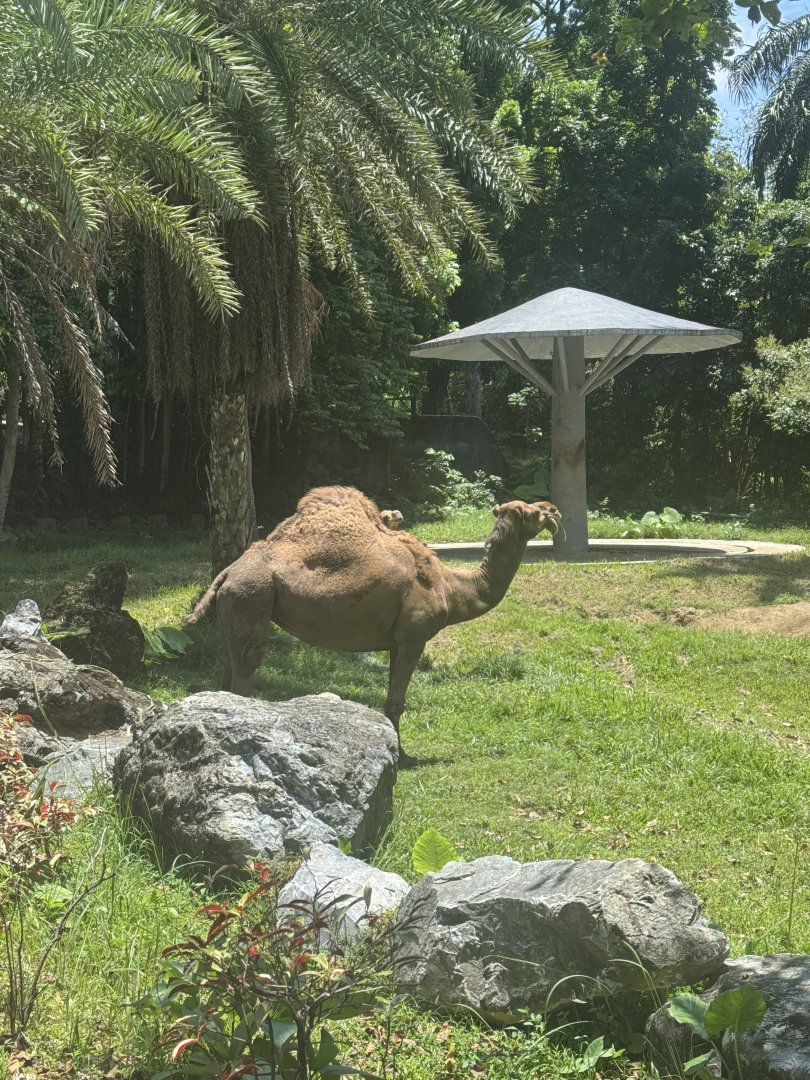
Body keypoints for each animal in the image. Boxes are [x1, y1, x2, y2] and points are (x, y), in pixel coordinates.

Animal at [187, 486, 560, 757]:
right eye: (532, 511)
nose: (553, 508)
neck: (451, 587)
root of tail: (228, 572)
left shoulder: (396, 640)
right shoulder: (414, 635)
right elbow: (396, 701)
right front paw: (401, 757)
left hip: (232, 608)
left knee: (228, 669)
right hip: (253, 597)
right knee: (247, 668)